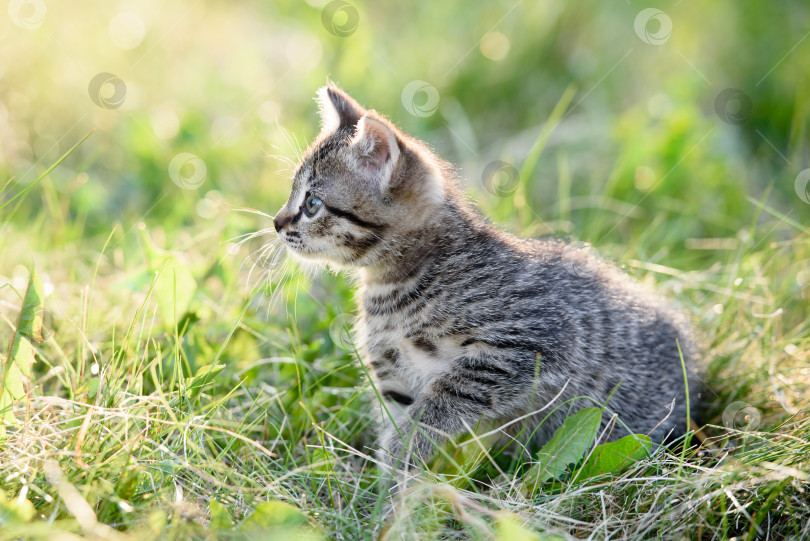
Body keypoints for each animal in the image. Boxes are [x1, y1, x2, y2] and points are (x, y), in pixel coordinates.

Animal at [270, 84, 696, 468]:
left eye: (312, 203)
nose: (276, 222)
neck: (398, 284)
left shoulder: (530, 342)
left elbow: (442, 399)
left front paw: (404, 456)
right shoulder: (393, 376)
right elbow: (398, 421)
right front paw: (392, 492)